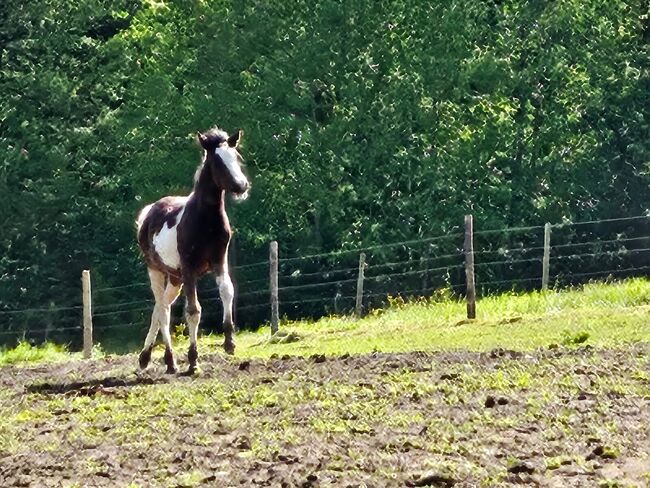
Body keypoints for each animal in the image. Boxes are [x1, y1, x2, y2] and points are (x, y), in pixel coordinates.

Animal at [135, 127, 249, 374]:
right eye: (217, 162)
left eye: (236, 157)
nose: (241, 186)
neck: (205, 221)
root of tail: (148, 213)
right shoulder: (189, 269)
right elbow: (193, 311)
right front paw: (193, 360)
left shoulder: (219, 260)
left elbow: (228, 291)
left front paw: (230, 343)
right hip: (156, 270)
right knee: (162, 310)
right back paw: (168, 360)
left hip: (175, 278)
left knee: (160, 308)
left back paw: (148, 359)